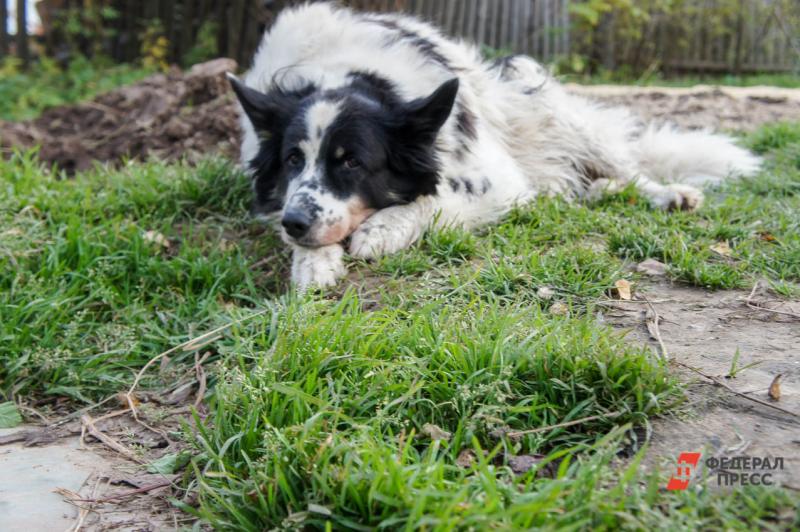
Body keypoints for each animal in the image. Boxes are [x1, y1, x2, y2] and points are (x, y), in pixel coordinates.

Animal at [227, 2, 764, 288]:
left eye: (352, 162)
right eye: (293, 159)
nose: (297, 224)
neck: (346, 72)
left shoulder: (495, 180)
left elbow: (435, 199)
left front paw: (383, 229)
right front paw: (311, 263)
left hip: (544, 104)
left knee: (625, 170)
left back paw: (668, 194)